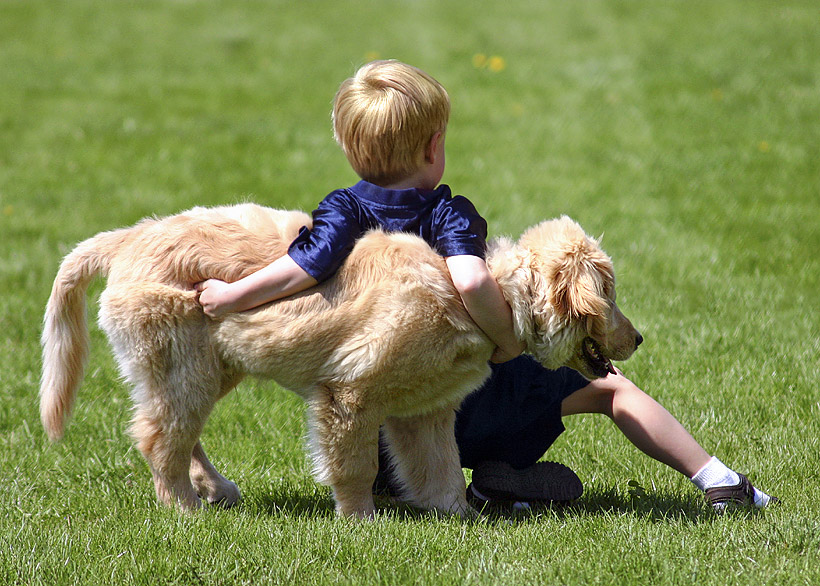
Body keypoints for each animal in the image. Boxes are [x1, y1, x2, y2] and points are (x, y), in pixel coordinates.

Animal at [38, 204, 640, 516]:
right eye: (609, 293)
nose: (639, 339)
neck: (473, 294)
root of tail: (126, 239)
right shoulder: (349, 393)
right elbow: (355, 466)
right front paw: (360, 523)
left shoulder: (423, 412)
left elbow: (440, 467)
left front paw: (461, 519)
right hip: (183, 365)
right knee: (159, 438)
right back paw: (184, 509)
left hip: (209, 367)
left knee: (177, 433)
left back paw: (214, 489)